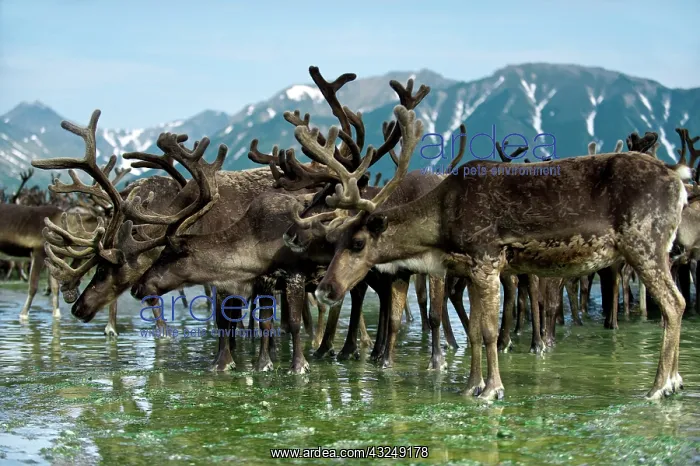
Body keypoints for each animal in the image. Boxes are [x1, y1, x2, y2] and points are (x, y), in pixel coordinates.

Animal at [301, 103, 691, 401]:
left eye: (358, 243)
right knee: (675, 304)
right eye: (333, 240)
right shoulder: (469, 268)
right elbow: (473, 330)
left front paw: (492, 390)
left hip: (645, 243)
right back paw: (674, 381)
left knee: (675, 303)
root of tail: (679, 182)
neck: (441, 227)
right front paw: (470, 386)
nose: (325, 289)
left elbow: (489, 331)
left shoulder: (487, 260)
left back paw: (660, 386)